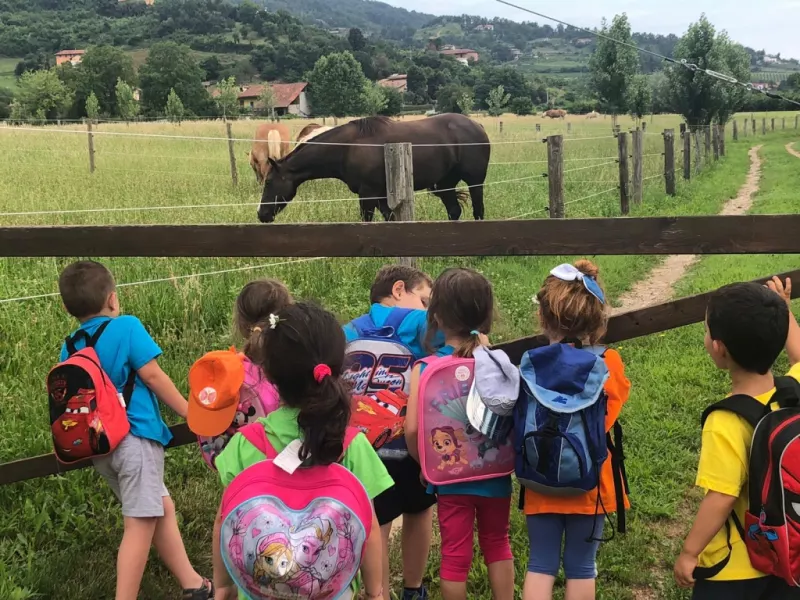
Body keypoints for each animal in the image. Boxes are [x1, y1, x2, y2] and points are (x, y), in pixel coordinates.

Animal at [260, 113, 490, 224]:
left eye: (269, 182)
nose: (262, 214)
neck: (347, 148)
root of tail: (477, 126)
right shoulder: (379, 195)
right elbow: (390, 220)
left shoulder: (368, 194)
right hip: (445, 185)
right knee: (454, 211)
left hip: (475, 182)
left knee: (478, 211)